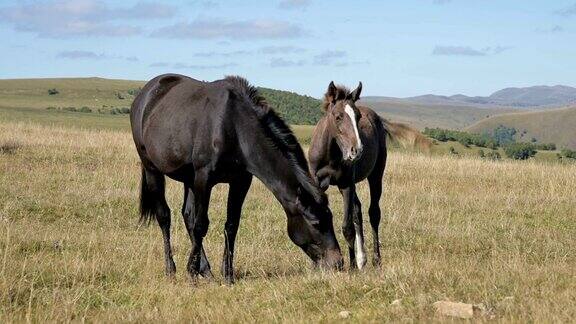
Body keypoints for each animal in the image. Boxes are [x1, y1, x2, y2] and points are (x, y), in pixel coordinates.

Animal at [129, 73, 342, 284]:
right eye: (315, 223)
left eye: (330, 218)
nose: (338, 263)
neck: (233, 126)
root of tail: (146, 94)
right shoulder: (204, 179)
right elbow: (201, 225)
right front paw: (191, 271)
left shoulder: (240, 181)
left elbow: (231, 225)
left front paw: (228, 274)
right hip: (152, 169)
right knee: (164, 216)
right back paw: (171, 269)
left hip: (188, 179)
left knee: (187, 215)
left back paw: (206, 271)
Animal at [310, 82, 428, 270]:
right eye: (338, 117)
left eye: (358, 117)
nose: (357, 150)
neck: (330, 154)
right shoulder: (317, 183)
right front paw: (317, 264)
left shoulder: (346, 185)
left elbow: (347, 227)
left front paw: (350, 267)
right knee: (358, 211)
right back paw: (361, 259)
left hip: (375, 176)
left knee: (373, 213)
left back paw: (375, 260)